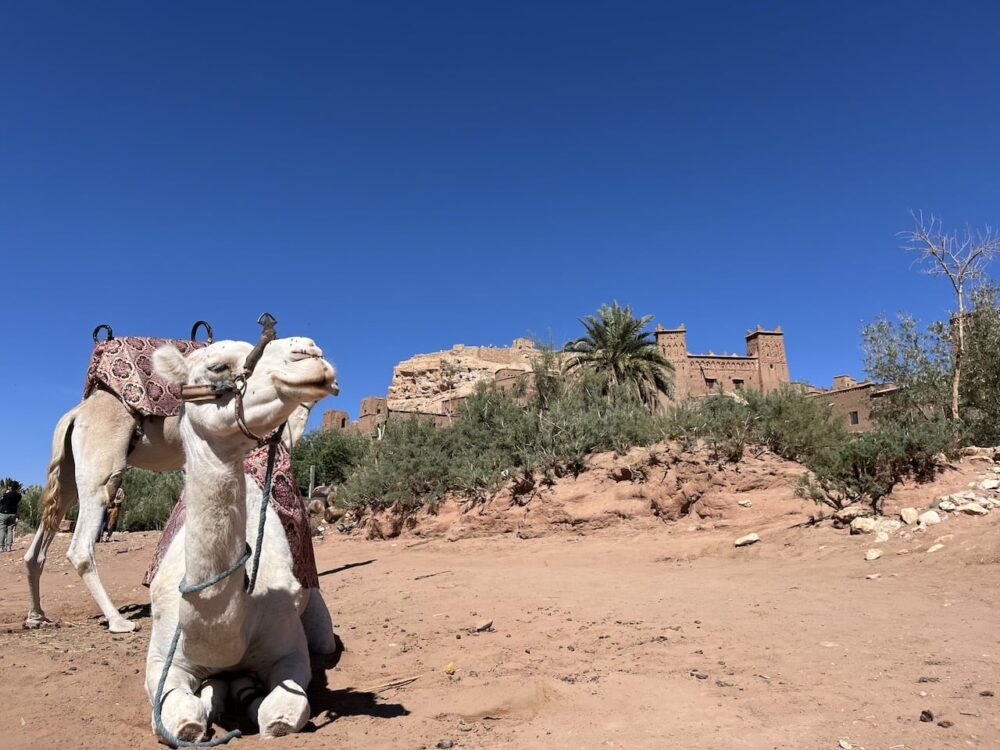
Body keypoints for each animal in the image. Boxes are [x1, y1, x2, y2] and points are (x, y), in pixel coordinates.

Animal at [25, 334, 326, 636]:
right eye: (220, 366)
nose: (310, 351)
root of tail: (74, 416)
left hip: (68, 475)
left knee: (40, 542)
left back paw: (38, 616)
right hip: (101, 470)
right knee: (80, 547)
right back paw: (119, 621)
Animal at [146, 338, 338, 744]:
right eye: (218, 366)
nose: (310, 353)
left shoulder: (290, 651)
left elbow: (278, 717)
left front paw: (250, 697)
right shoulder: (160, 659)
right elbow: (183, 720)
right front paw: (210, 699)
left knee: (324, 639)